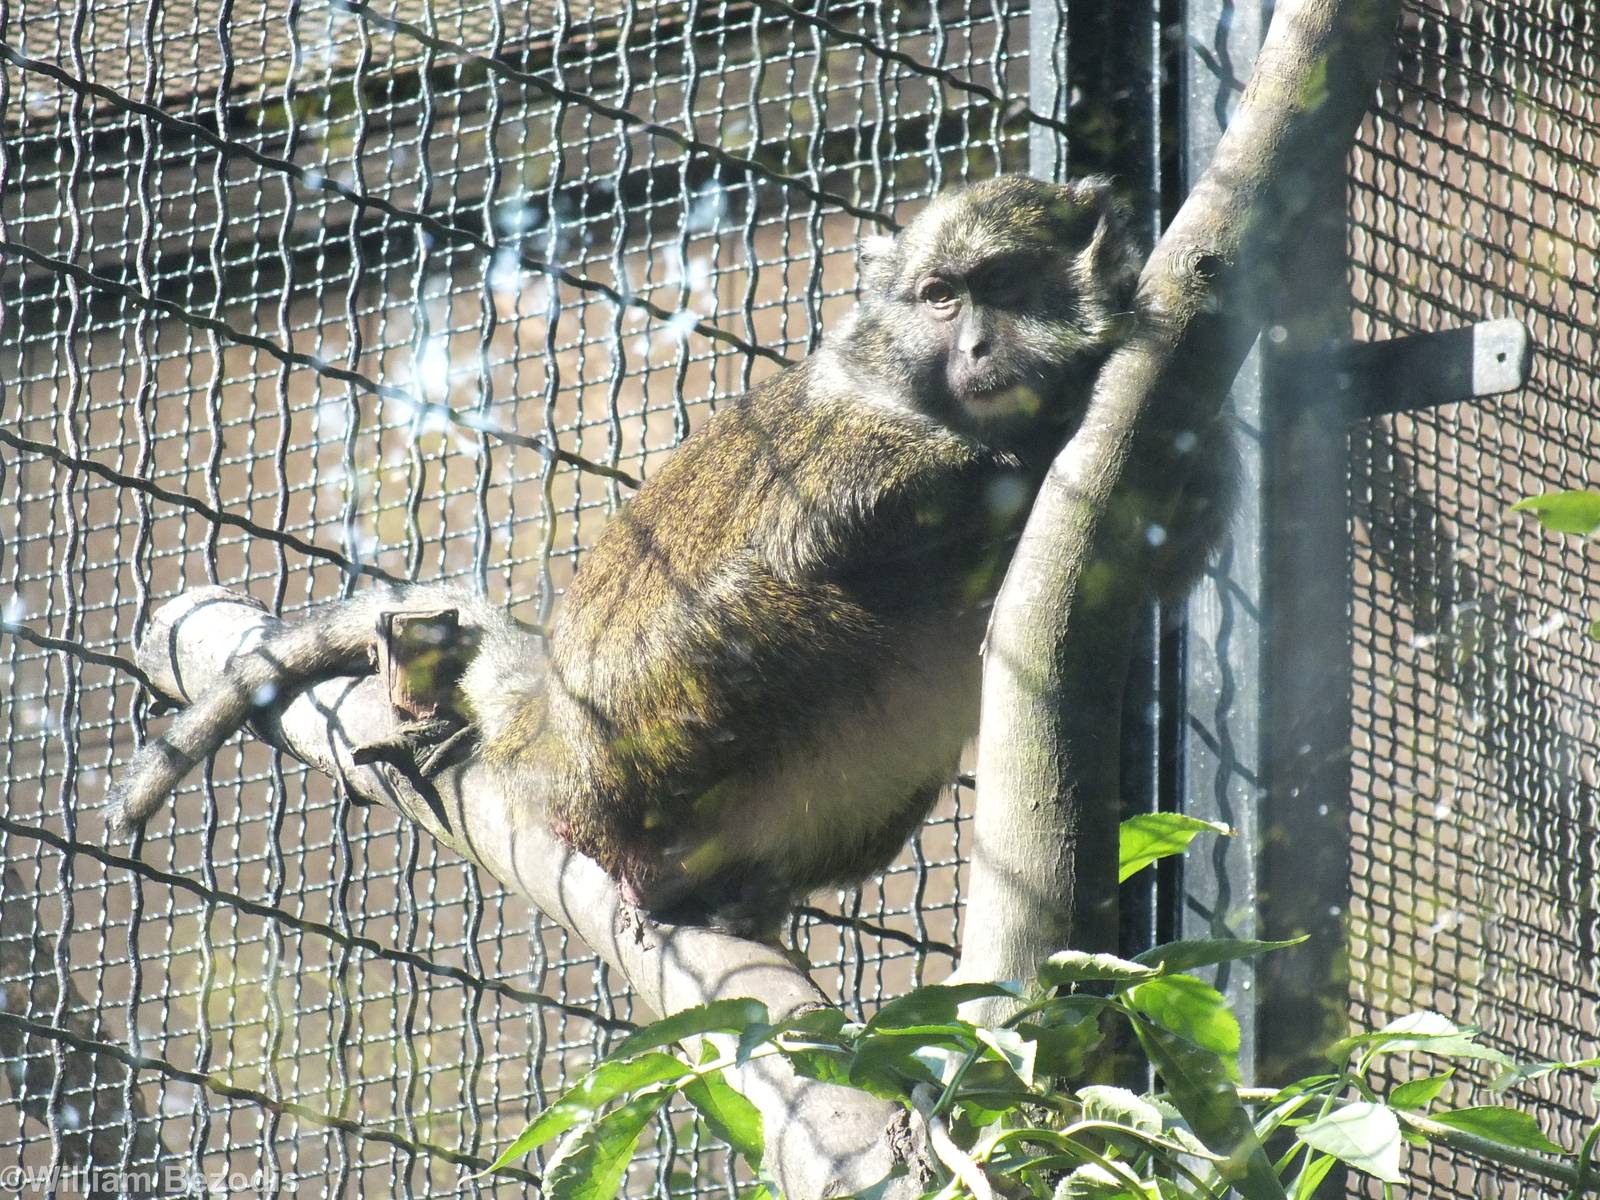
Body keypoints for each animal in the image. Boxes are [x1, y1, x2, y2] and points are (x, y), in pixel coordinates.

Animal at [111, 174, 1226, 933]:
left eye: (1003, 283)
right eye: (941, 296)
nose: (980, 348)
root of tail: (553, 738)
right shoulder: (848, 444)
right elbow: (829, 529)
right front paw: (1009, 457)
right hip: (661, 728)